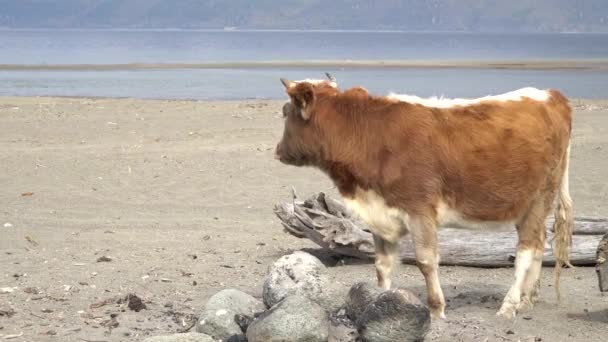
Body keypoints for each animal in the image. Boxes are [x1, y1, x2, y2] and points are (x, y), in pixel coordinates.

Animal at [276, 79, 576, 320]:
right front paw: (378, 301)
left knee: (526, 251)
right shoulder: (380, 211)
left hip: (539, 198)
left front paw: (436, 309)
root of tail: (552, 95)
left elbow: (426, 261)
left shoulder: (419, 210)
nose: (278, 150)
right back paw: (527, 300)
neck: (370, 134)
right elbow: (382, 264)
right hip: (528, 204)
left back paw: (510, 304)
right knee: (539, 245)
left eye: (285, 112)